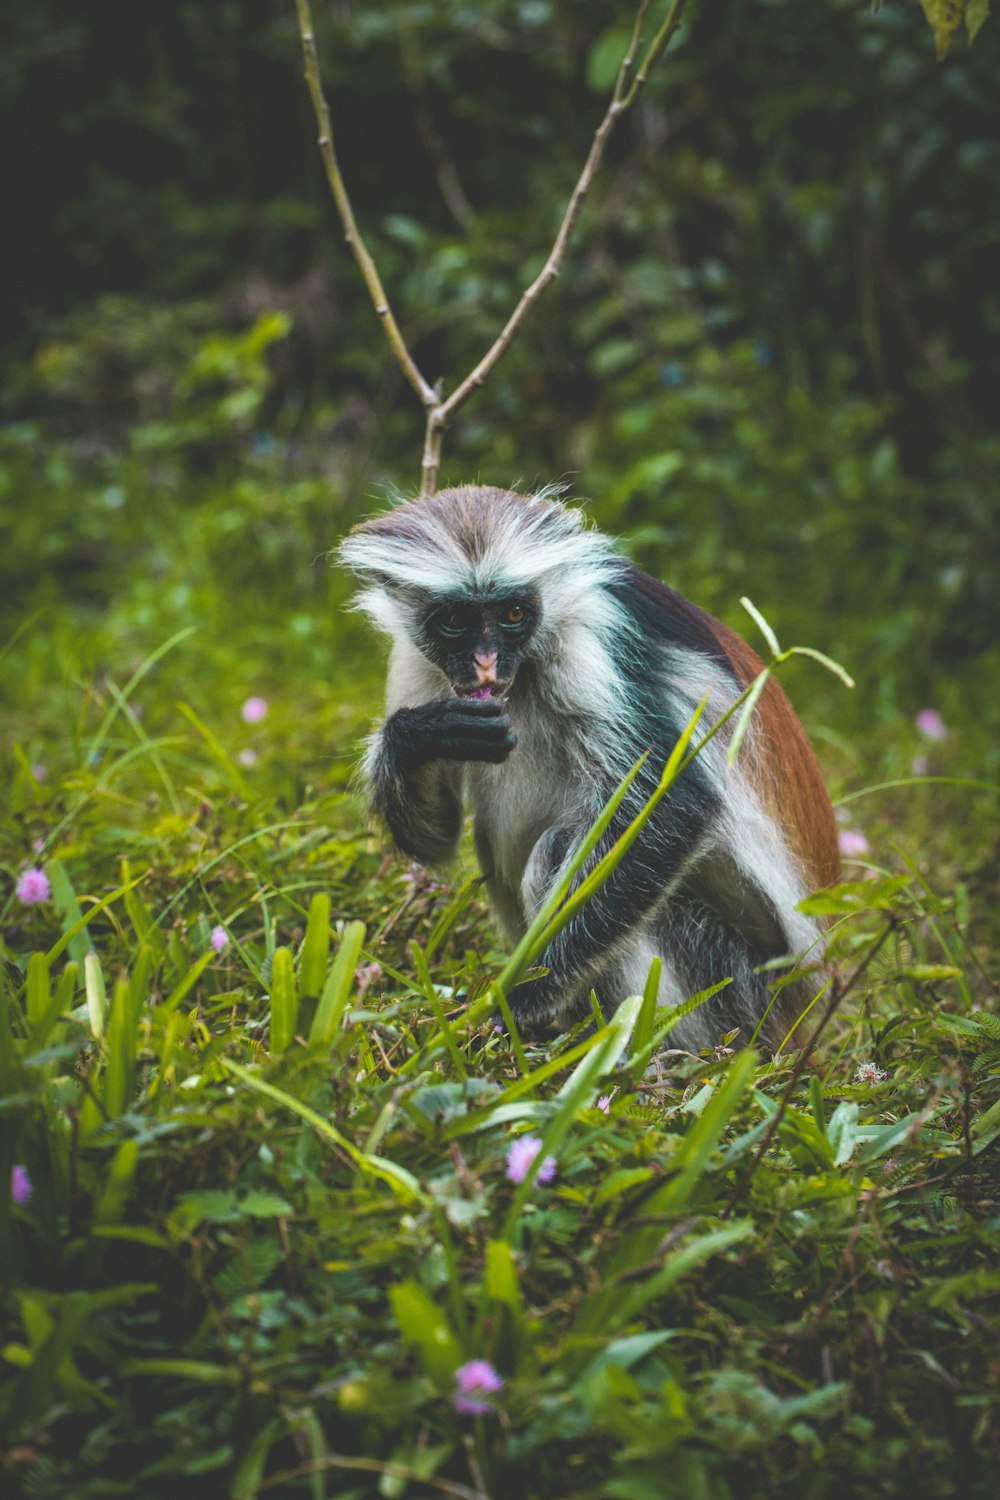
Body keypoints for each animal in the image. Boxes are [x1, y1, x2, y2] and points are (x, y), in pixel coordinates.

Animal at [340, 486, 839, 1050]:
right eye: (454, 621)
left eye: (513, 613)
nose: (486, 663)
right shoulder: (415, 655)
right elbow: (434, 841)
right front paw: (423, 736)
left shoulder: (597, 638)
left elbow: (673, 810)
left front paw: (522, 1000)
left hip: (733, 987)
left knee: (561, 851)